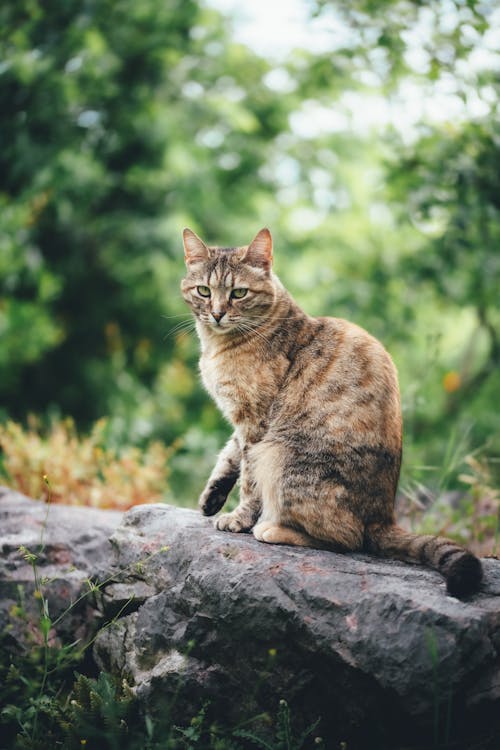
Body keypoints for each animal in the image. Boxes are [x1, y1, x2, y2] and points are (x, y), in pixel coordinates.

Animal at [180, 226, 480, 604]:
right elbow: (230, 455)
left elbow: (249, 480)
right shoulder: (243, 423)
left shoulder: (256, 423)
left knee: (347, 539)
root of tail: (384, 517)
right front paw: (212, 498)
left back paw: (272, 528)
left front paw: (238, 517)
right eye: (204, 291)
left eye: (239, 293)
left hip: (280, 457)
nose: (217, 313)